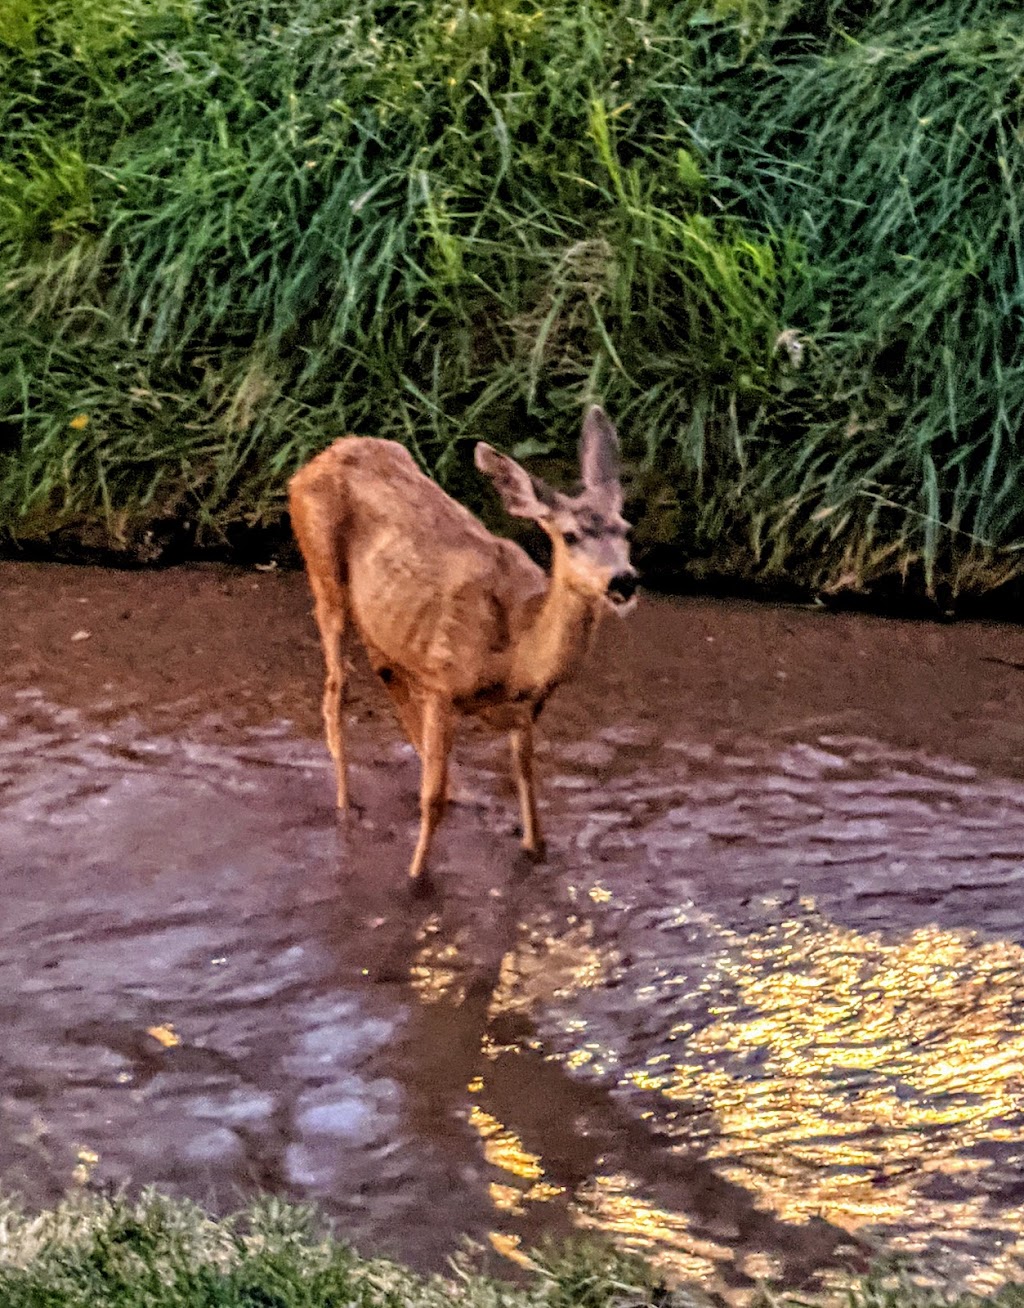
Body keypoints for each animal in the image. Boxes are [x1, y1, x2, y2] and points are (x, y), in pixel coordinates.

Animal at [287, 402, 635, 884]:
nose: (624, 581)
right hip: (323, 575)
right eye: (570, 536)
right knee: (336, 693)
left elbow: (528, 785)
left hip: (382, 617)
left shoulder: (526, 709)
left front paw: (532, 849)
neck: (514, 654)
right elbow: (428, 799)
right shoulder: (442, 683)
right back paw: (345, 807)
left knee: (385, 672)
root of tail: (314, 462)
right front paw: (415, 876)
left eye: (627, 528)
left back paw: (461, 793)